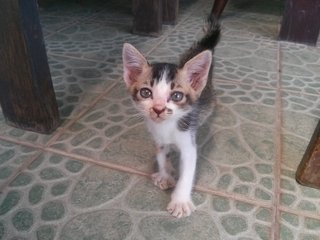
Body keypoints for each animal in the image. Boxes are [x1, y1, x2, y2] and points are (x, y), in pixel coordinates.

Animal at [122, 15, 220, 218]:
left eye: (176, 96)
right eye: (145, 93)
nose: (158, 109)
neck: (166, 128)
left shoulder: (188, 141)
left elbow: (188, 171)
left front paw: (180, 201)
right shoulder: (157, 138)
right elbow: (161, 154)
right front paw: (165, 173)